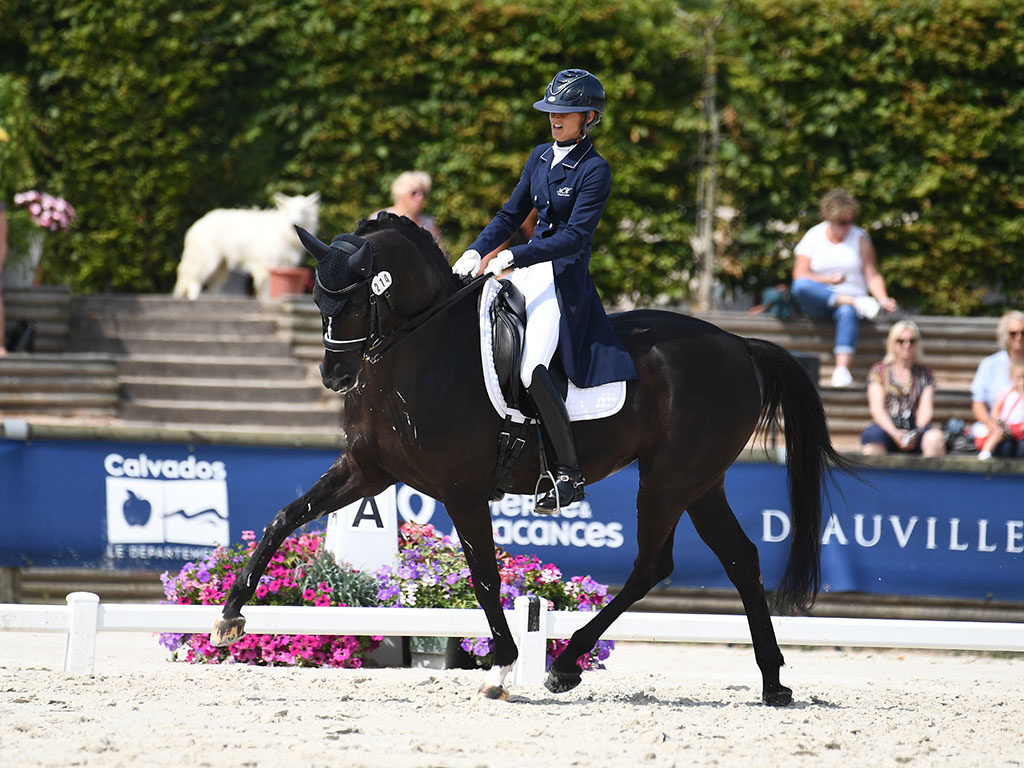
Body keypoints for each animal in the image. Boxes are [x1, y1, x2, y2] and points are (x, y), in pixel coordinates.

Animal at [171, 192, 319, 301]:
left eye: (302, 212)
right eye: (290, 211)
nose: (293, 222)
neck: (282, 231)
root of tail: (198, 223)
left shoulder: (283, 264)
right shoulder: (264, 264)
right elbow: (265, 288)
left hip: (221, 267)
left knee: (212, 286)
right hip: (208, 262)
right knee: (192, 278)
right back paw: (194, 297)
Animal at [211, 214, 851, 708]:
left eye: (360, 297)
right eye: (319, 297)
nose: (335, 376)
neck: (418, 350)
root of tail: (740, 345)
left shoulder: (462, 489)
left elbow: (484, 575)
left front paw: (500, 668)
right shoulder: (369, 471)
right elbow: (284, 518)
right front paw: (228, 618)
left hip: (670, 481)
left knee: (654, 564)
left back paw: (565, 664)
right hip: (701, 481)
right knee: (739, 559)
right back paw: (772, 683)